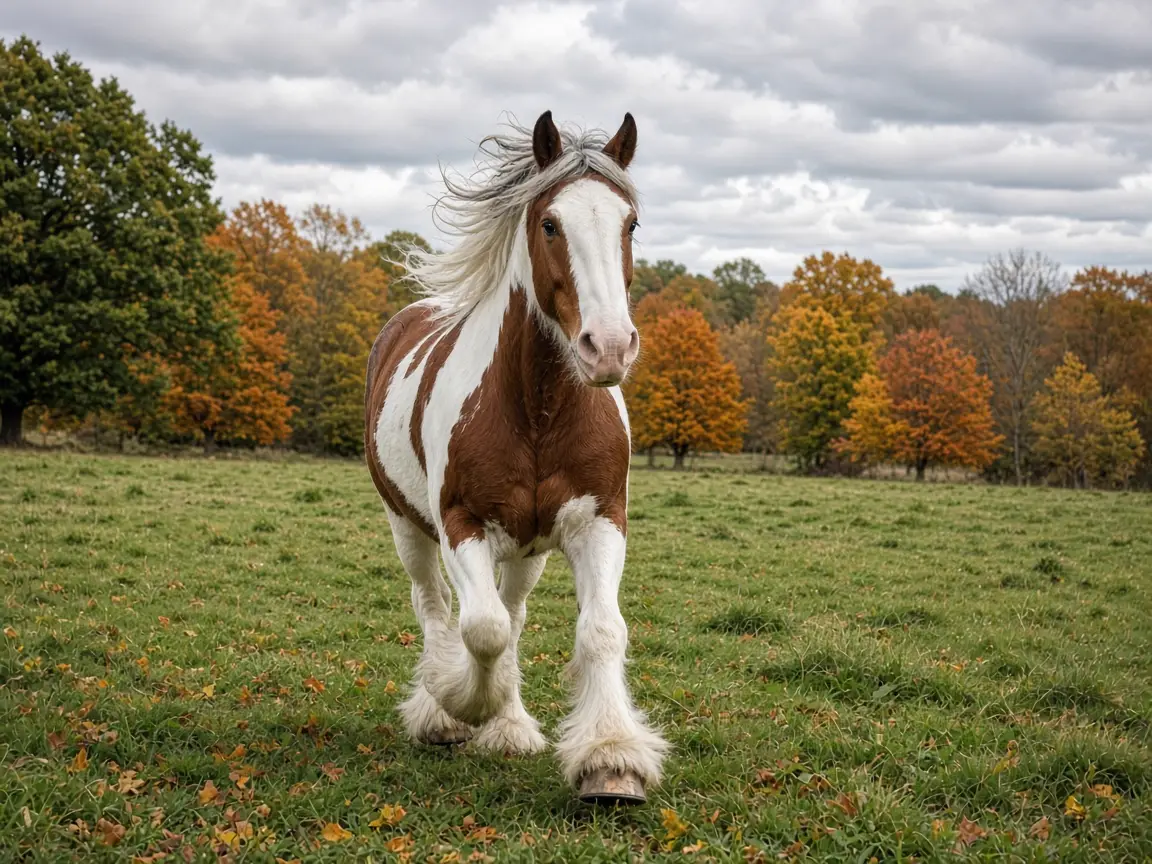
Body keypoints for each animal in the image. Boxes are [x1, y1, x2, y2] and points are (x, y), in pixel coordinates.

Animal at [363, 110, 668, 804]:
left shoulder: (599, 520)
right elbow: (481, 630)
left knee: (513, 610)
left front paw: (610, 758)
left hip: (530, 550)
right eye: (550, 223)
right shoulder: (461, 524)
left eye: (630, 223)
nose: (610, 346)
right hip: (407, 527)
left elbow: (600, 629)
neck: (538, 409)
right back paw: (447, 711)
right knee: (437, 608)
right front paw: (461, 701)